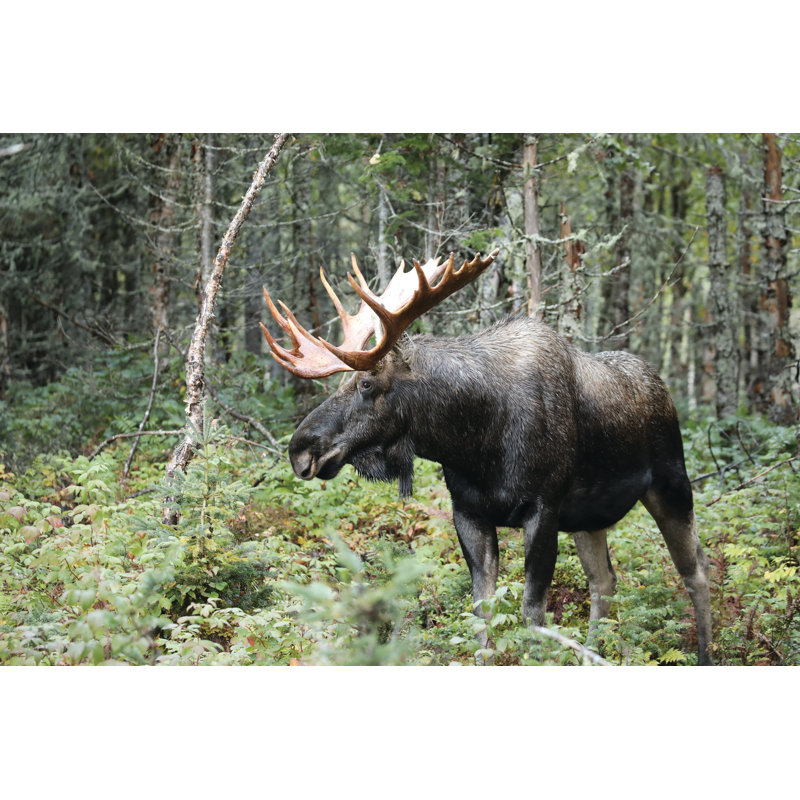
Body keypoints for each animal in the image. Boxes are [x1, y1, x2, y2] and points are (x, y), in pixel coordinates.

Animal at [260, 249, 713, 665]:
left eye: (367, 383)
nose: (300, 448)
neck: (476, 442)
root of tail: (663, 387)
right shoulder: (469, 512)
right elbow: (483, 616)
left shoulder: (543, 508)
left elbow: (532, 615)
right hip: (589, 517)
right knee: (605, 582)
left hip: (672, 484)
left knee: (696, 571)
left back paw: (705, 655)